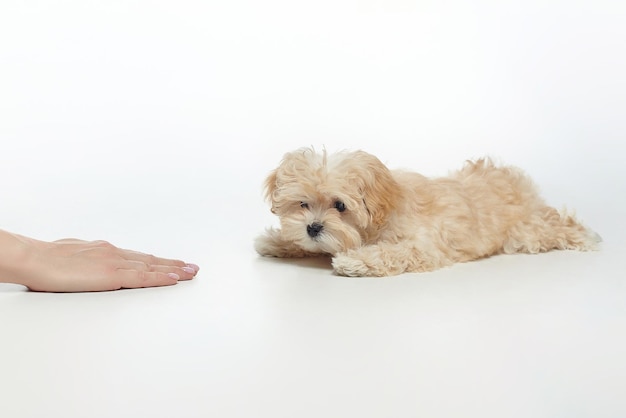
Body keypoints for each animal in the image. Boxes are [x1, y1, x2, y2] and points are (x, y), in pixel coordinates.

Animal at [254, 148, 600, 278]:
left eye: (339, 205)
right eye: (302, 203)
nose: (313, 228)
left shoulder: (420, 247)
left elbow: (387, 253)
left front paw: (353, 261)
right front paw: (277, 241)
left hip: (525, 233)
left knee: (555, 224)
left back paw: (585, 236)